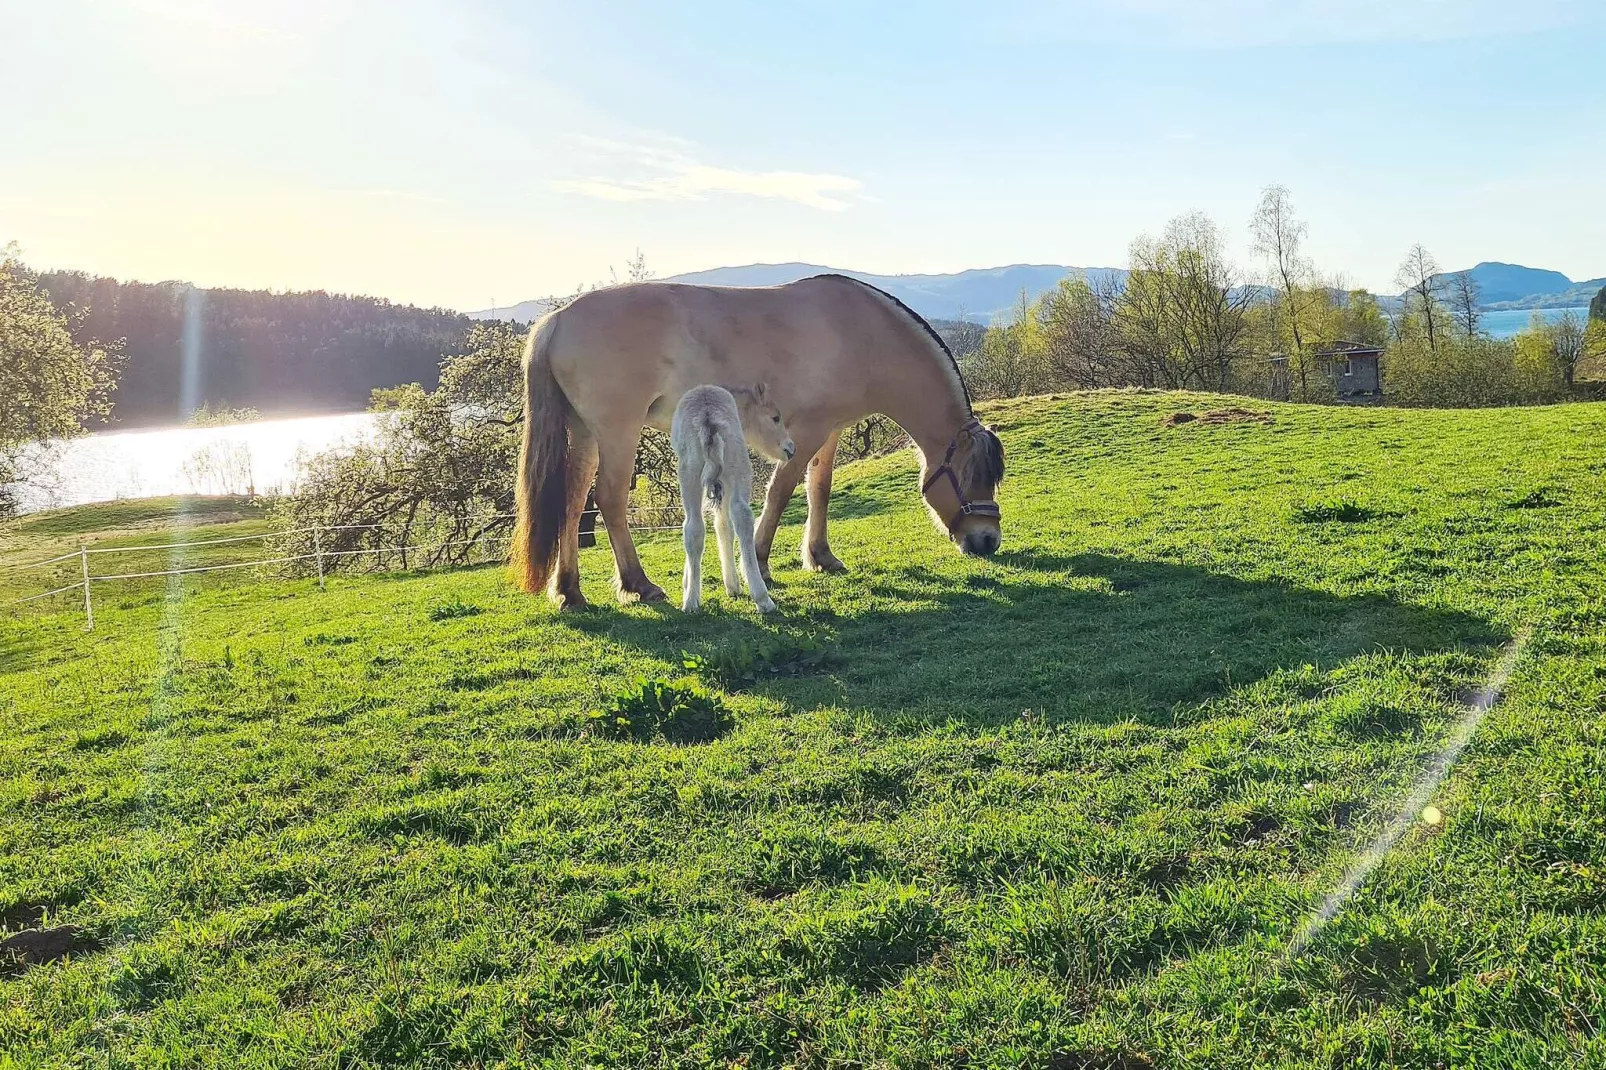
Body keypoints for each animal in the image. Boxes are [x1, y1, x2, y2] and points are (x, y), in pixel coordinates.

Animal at [668, 379, 793, 613]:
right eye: (776, 418)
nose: (791, 449)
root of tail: (708, 417)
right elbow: (723, 525)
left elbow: (721, 526)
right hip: (731, 467)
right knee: (731, 518)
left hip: (692, 472)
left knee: (700, 524)